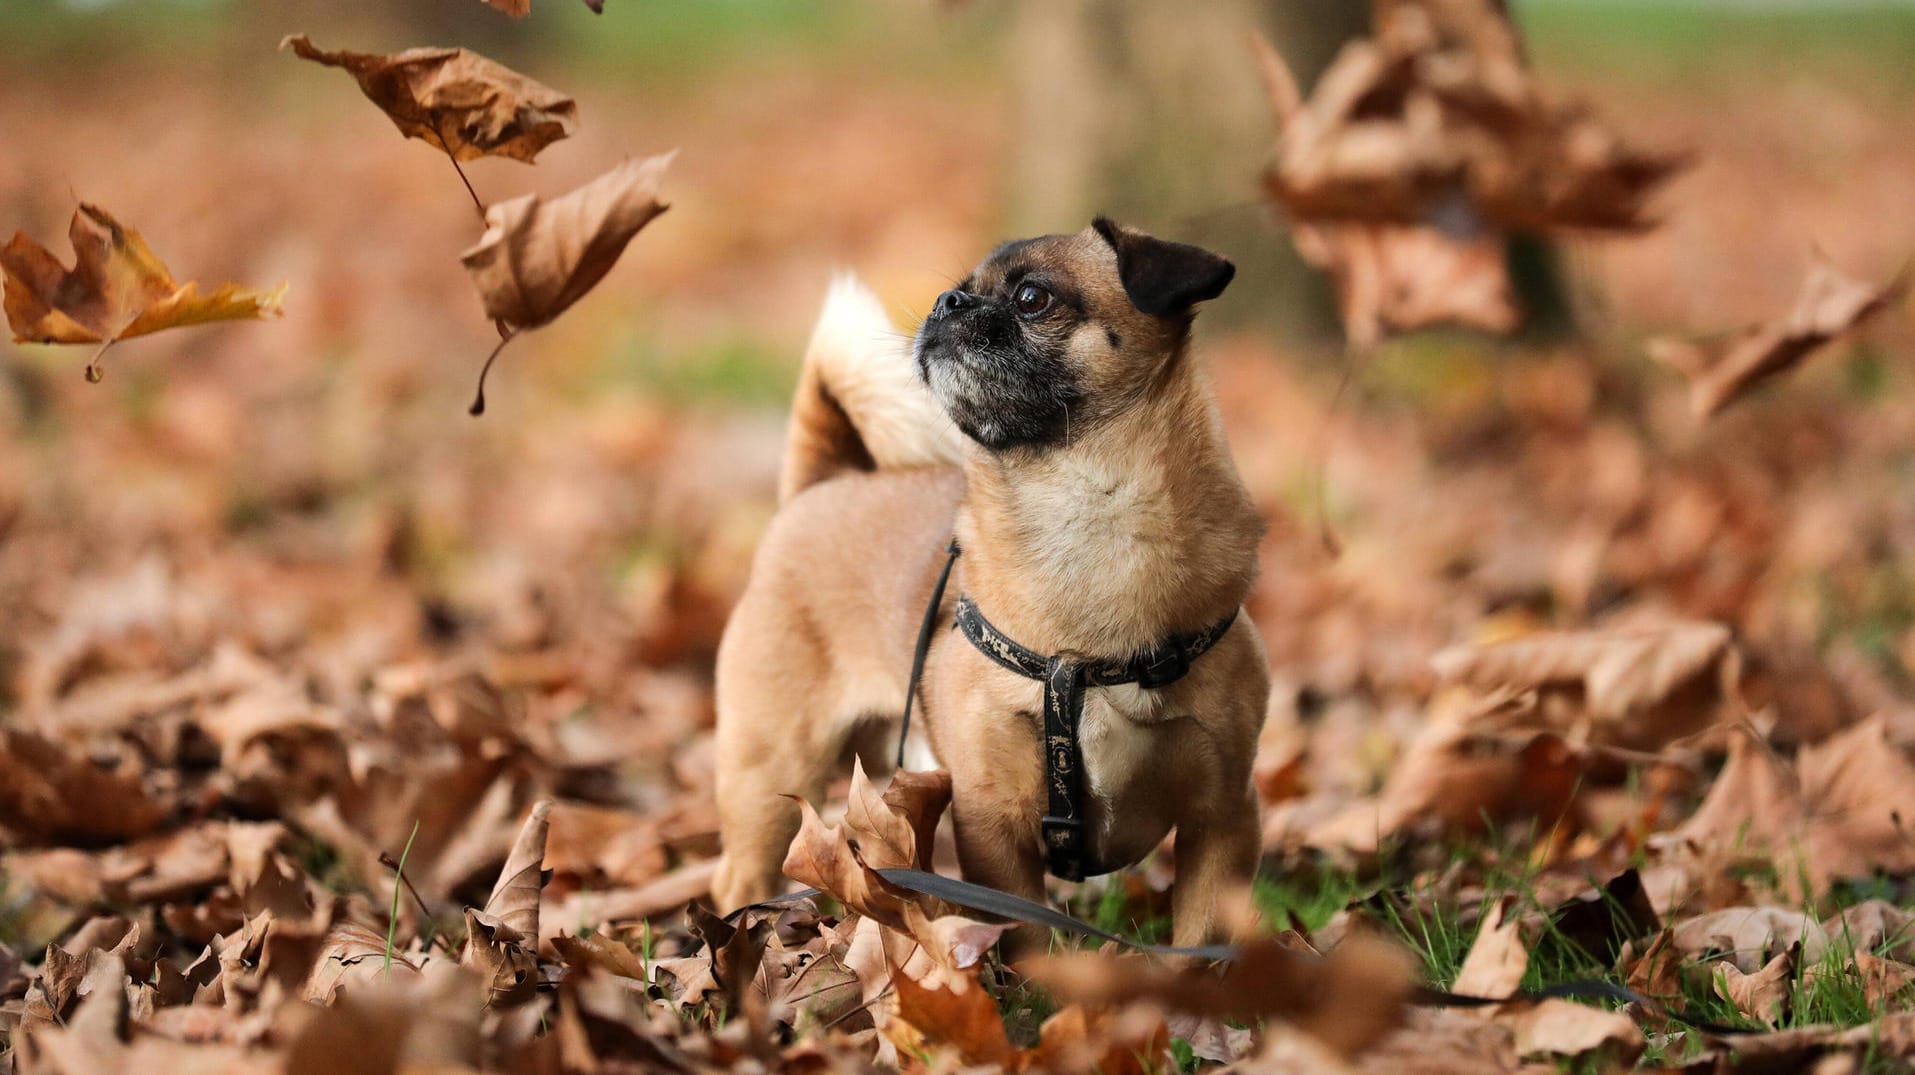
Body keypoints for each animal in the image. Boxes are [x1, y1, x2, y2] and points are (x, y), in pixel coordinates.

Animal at [712, 220, 1263, 946]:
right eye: (961, 290)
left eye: (1031, 298)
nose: (947, 302)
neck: (1088, 511)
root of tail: (824, 485)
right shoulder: (994, 826)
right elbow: (1028, 934)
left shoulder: (1222, 819)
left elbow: (1203, 938)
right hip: (770, 770)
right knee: (741, 869)